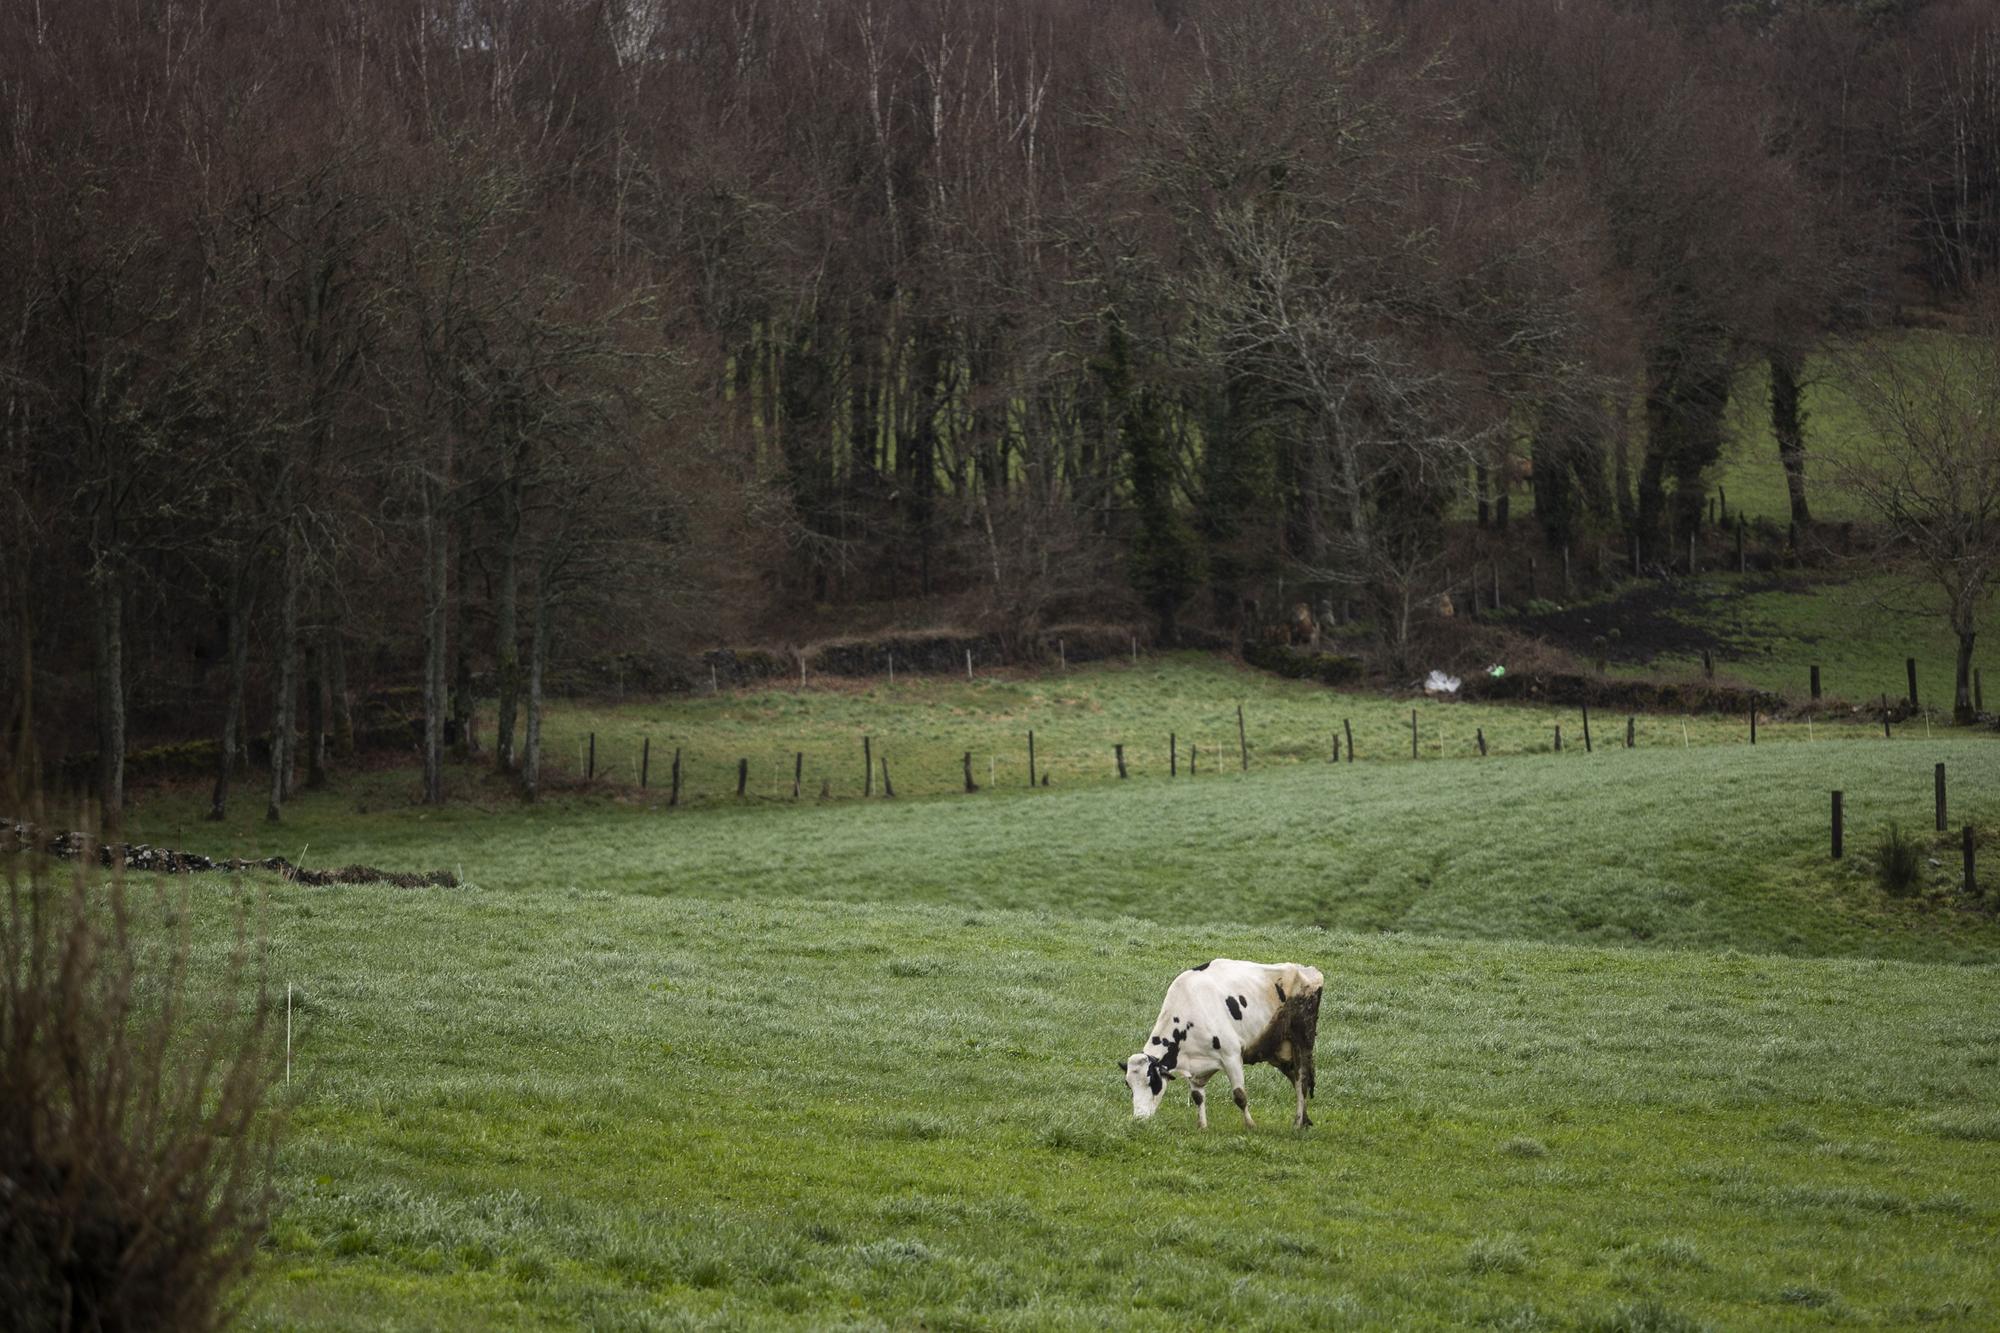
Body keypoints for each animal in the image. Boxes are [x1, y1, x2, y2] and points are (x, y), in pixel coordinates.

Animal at [1128, 948, 1328, 1128]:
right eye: (1128, 1086)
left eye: (1152, 1082)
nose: (1139, 1119)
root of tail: (1306, 970)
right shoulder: (1196, 1065)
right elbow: (1197, 1096)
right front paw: (1202, 1126)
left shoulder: (1232, 1055)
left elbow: (1240, 1095)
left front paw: (1251, 1126)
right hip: (1278, 1049)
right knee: (1295, 1079)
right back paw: (1303, 1120)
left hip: (1302, 1041)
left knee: (1302, 1080)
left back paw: (1299, 1123)